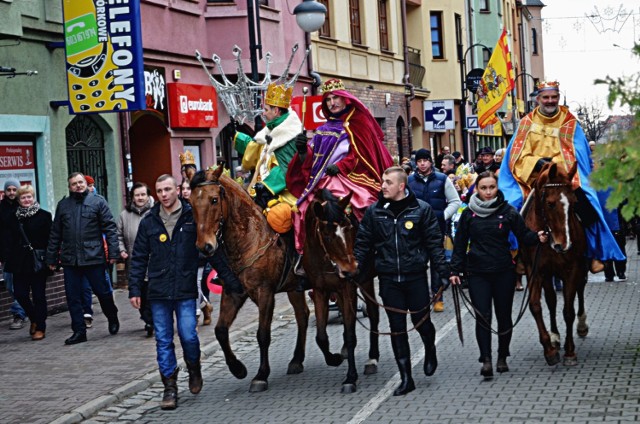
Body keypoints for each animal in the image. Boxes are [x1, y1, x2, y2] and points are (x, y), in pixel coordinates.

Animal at [185, 164, 310, 392]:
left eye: (214, 199)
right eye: (190, 202)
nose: (205, 247)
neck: (250, 236)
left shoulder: (265, 293)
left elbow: (263, 334)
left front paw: (261, 375)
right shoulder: (232, 292)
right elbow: (220, 331)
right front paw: (238, 368)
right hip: (294, 286)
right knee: (303, 315)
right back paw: (297, 360)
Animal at [302, 190, 380, 392]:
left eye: (350, 228)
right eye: (327, 235)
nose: (351, 270)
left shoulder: (348, 288)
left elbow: (351, 334)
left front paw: (350, 378)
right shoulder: (320, 291)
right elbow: (321, 336)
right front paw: (335, 358)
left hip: (366, 280)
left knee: (373, 313)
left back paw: (372, 358)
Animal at [524, 161, 588, 366]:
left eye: (574, 203)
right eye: (550, 203)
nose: (564, 244)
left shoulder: (572, 269)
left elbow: (568, 310)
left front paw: (570, 352)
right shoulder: (535, 271)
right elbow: (536, 306)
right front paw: (549, 350)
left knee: (580, 289)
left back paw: (582, 325)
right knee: (551, 301)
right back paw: (554, 337)